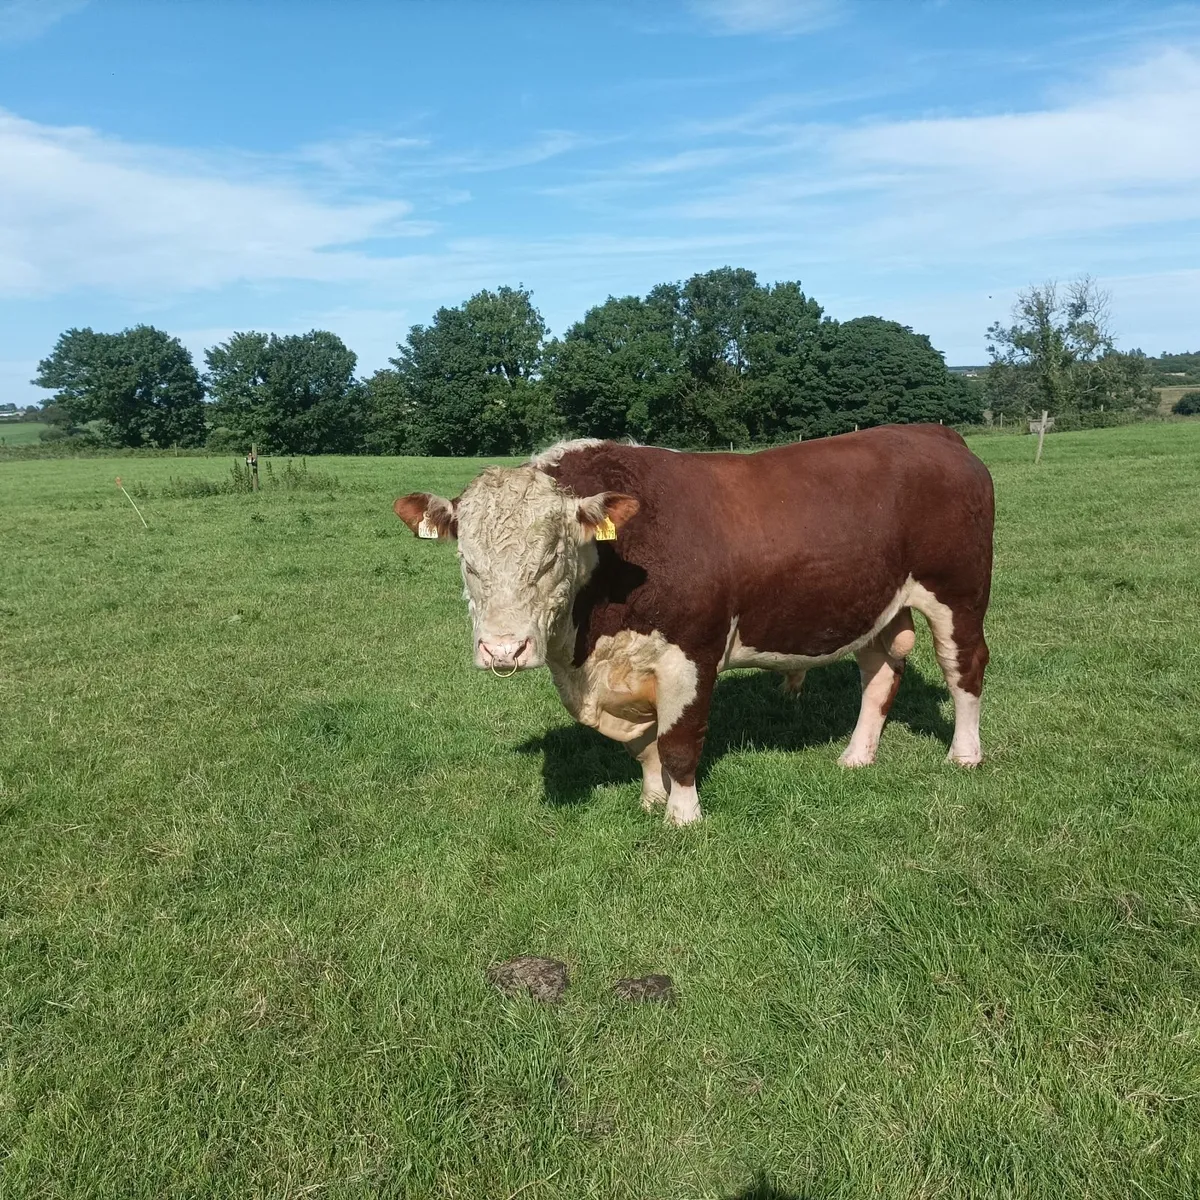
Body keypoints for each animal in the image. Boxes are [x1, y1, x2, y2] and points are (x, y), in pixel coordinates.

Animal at [394, 425, 994, 827]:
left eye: (550, 557)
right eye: (468, 561)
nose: (504, 651)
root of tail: (934, 433)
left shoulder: (691, 655)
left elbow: (679, 742)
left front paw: (682, 817)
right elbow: (646, 746)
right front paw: (651, 797)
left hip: (959, 593)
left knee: (964, 667)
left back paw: (964, 754)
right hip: (873, 604)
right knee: (879, 672)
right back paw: (856, 756)